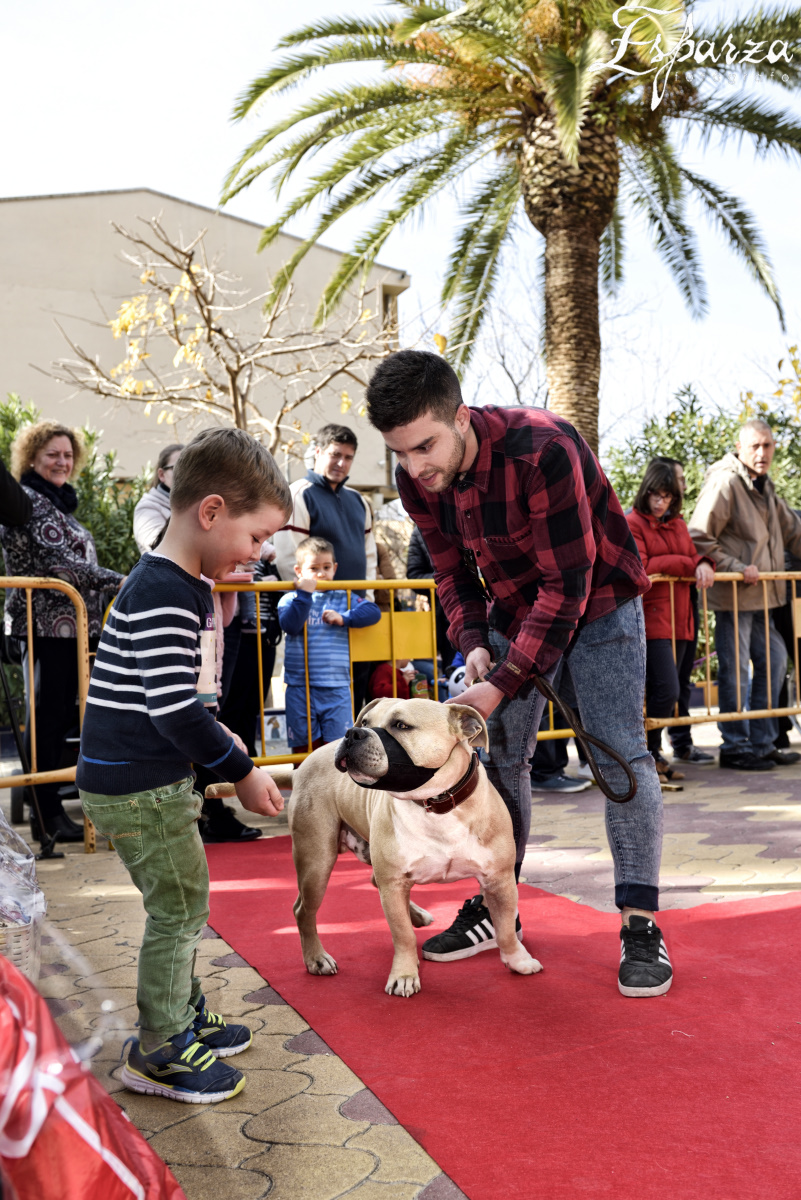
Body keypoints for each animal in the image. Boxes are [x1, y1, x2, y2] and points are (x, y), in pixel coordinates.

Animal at [287, 697, 543, 997]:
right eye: (365, 721)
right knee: (304, 911)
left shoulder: (500, 880)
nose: (352, 733)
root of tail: (306, 761)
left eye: (401, 726)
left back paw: (416, 915)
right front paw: (405, 975)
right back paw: (316, 958)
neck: (436, 803)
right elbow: (403, 935)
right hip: (317, 861)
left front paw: (518, 960)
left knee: (372, 881)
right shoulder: (394, 882)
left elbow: (505, 928)